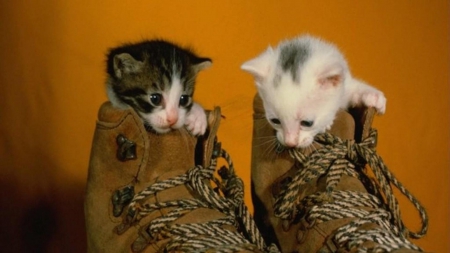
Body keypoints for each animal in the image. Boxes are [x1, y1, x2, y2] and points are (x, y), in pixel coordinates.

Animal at [241, 34, 384, 147]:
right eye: (275, 121)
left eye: (307, 123)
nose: (290, 143)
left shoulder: (345, 85)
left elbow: (354, 89)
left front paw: (374, 97)